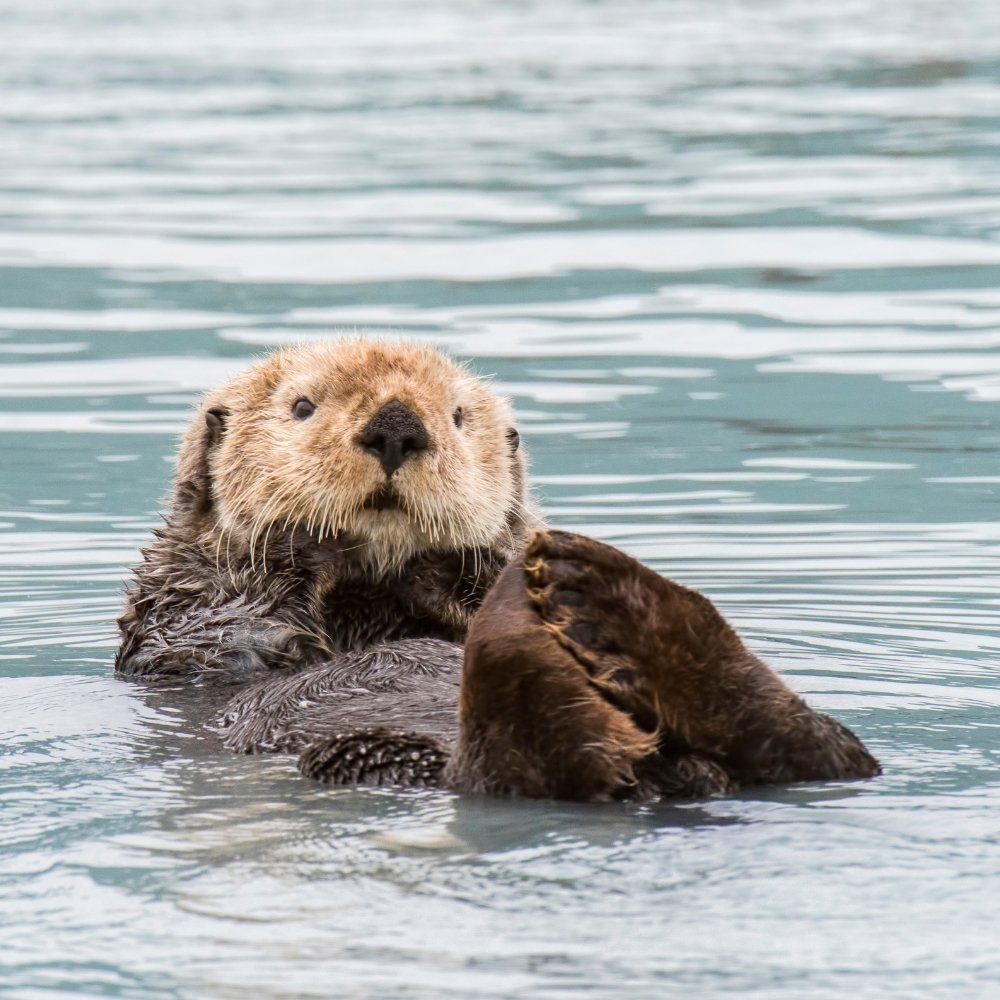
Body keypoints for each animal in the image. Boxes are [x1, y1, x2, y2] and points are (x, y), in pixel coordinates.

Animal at [117, 338, 879, 801]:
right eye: (302, 406)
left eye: (457, 416)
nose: (397, 425)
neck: (373, 596)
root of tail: (658, 776)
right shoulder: (180, 608)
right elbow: (228, 633)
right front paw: (304, 543)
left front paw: (463, 568)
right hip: (375, 755)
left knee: (825, 751)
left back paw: (604, 598)